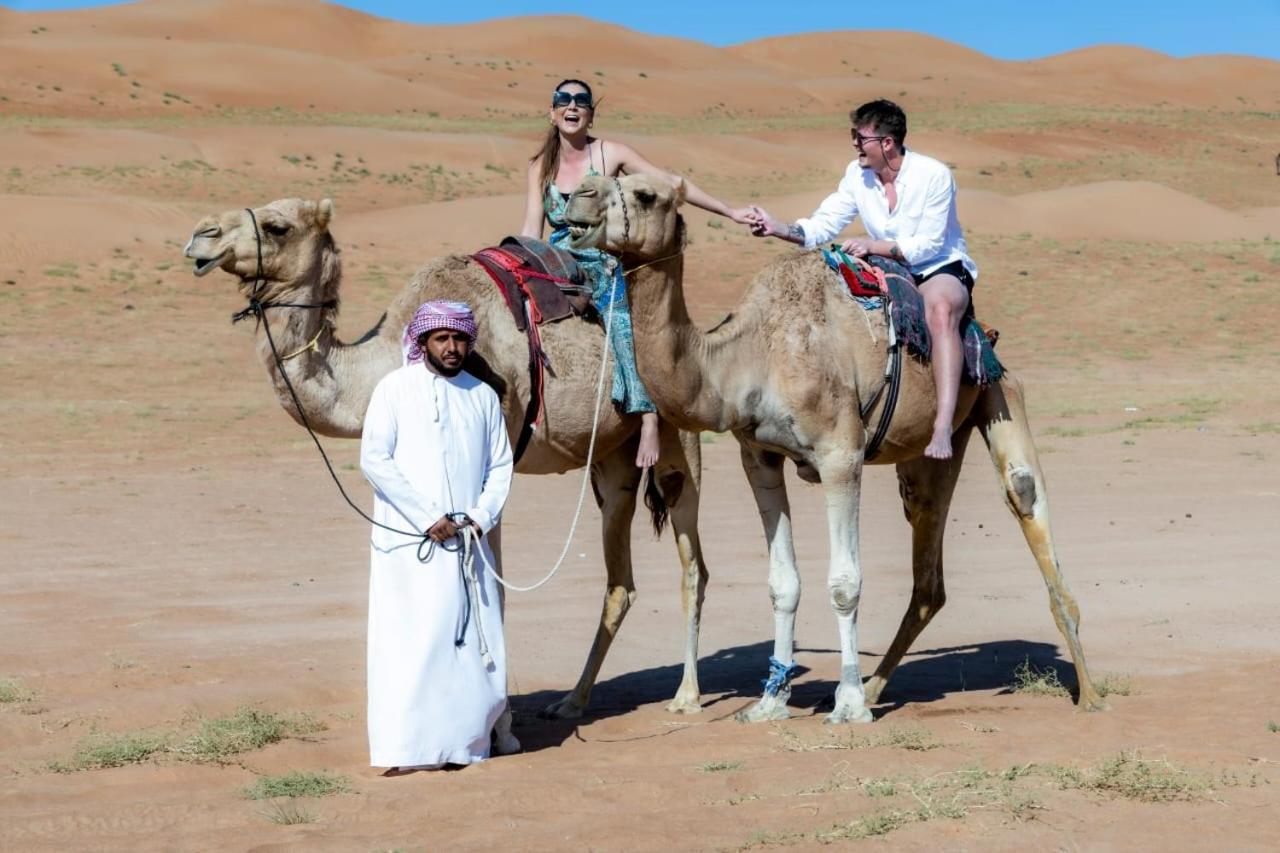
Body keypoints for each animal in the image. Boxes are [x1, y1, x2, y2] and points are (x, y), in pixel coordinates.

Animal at [185, 195, 716, 722]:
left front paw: (499, 721)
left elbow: (494, 589)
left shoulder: (497, 455)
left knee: (692, 558)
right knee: (620, 580)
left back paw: (687, 696)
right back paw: (572, 701)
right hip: (613, 458)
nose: (200, 236)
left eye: (278, 227)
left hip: (677, 435)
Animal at [565, 175, 1105, 722]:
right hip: (932, 455)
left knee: (1025, 496)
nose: (577, 195)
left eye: (645, 194)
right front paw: (770, 702)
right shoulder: (759, 456)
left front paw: (847, 706)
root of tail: (985, 332)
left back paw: (1088, 693)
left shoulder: (840, 454)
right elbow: (783, 583)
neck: (749, 355)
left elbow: (845, 584)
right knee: (928, 575)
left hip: (999, 393)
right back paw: (876, 686)